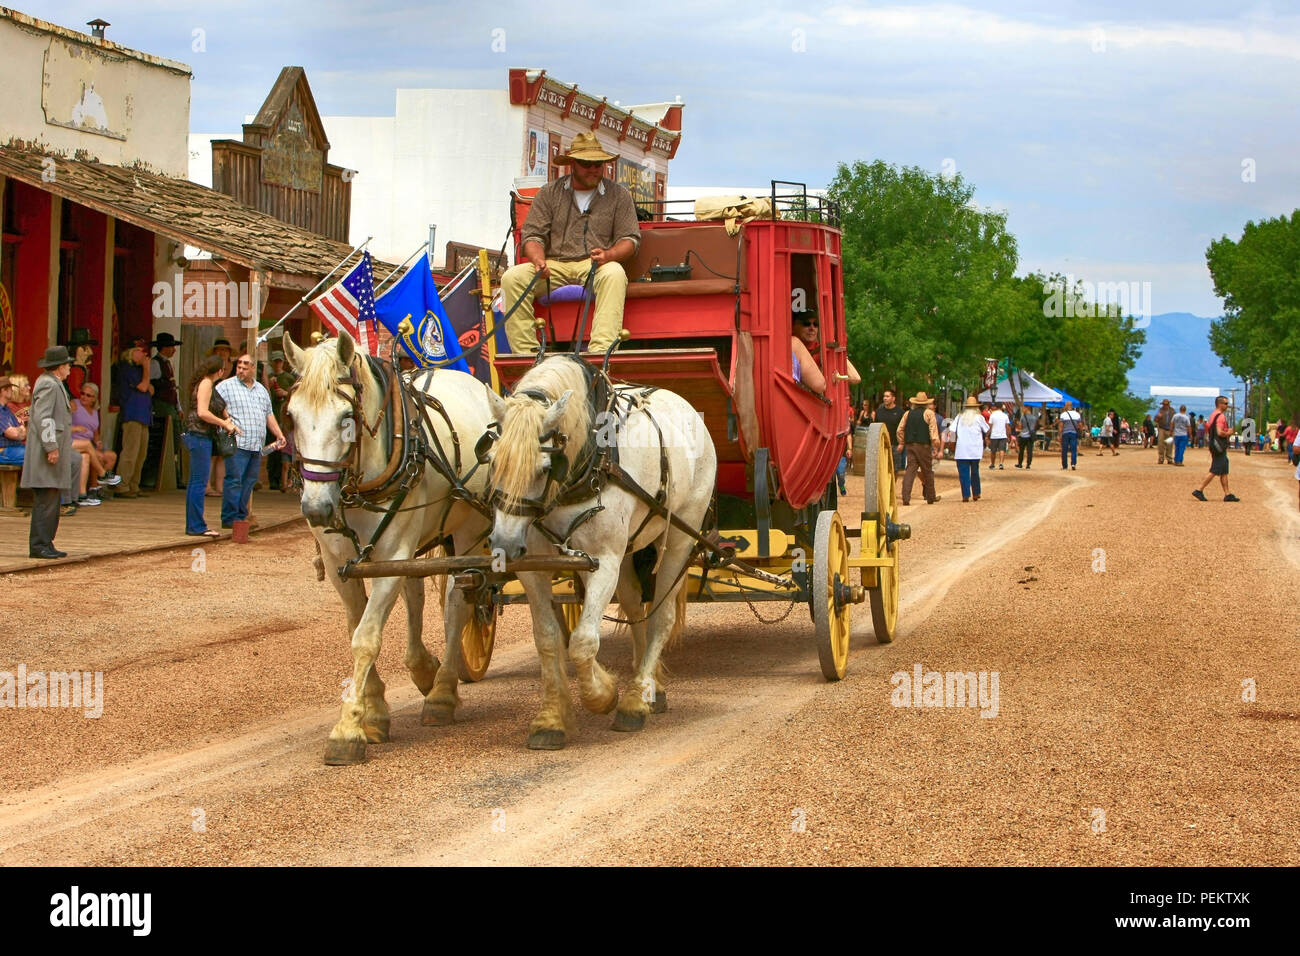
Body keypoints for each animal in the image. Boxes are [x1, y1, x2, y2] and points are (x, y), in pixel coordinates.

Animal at [284, 332, 496, 764]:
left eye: (345, 418)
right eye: (292, 416)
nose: (315, 508)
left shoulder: (394, 553)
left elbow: (366, 637)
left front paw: (348, 728)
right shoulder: (340, 563)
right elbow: (356, 625)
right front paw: (375, 710)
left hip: (468, 531)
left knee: (457, 603)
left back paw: (442, 692)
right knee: (416, 593)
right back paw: (423, 669)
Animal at [486, 356, 717, 749]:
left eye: (544, 468)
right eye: (492, 461)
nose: (504, 544)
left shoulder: (604, 560)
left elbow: (583, 641)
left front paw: (603, 695)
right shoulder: (536, 565)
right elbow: (548, 639)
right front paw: (552, 718)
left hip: (679, 538)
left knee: (661, 617)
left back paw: (635, 700)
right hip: (628, 550)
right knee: (635, 607)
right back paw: (649, 687)